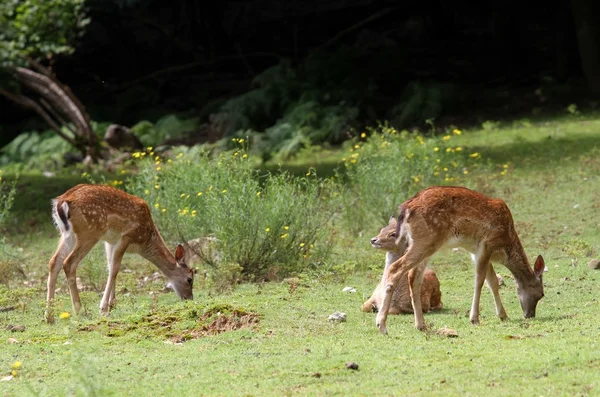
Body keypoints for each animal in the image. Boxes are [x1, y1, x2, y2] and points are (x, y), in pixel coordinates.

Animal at [46, 184, 195, 324]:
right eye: (189, 279)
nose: (189, 298)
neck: (145, 240)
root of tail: (62, 202)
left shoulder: (110, 241)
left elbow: (110, 266)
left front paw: (112, 305)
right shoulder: (126, 236)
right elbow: (115, 269)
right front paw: (104, 308)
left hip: (67, 233)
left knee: (54, 261)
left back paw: (49, 317)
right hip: (90, 232)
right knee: (69, 263)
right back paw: (80, 311)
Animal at [378, 184, 548, 332]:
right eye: (541, 294)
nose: (530, 315)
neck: (506, 246)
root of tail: (406, 208)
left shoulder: (476, 251)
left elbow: (492, 282)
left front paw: (503, 316)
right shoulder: (487, 244)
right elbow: (480, 280)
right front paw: (474, 318)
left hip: (422, 243)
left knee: (413, 277)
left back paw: (421, 325)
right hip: (426, 240)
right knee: (395, 268)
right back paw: (382, 325)